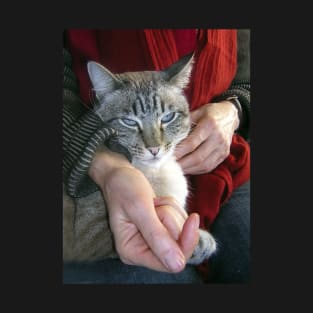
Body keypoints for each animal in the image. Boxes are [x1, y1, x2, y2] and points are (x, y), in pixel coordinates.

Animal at [62, 53, 216, 266]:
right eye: (129, 122)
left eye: (167, 117)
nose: (154, 149)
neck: (157, 171)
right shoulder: (89, 238)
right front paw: (202, 239)